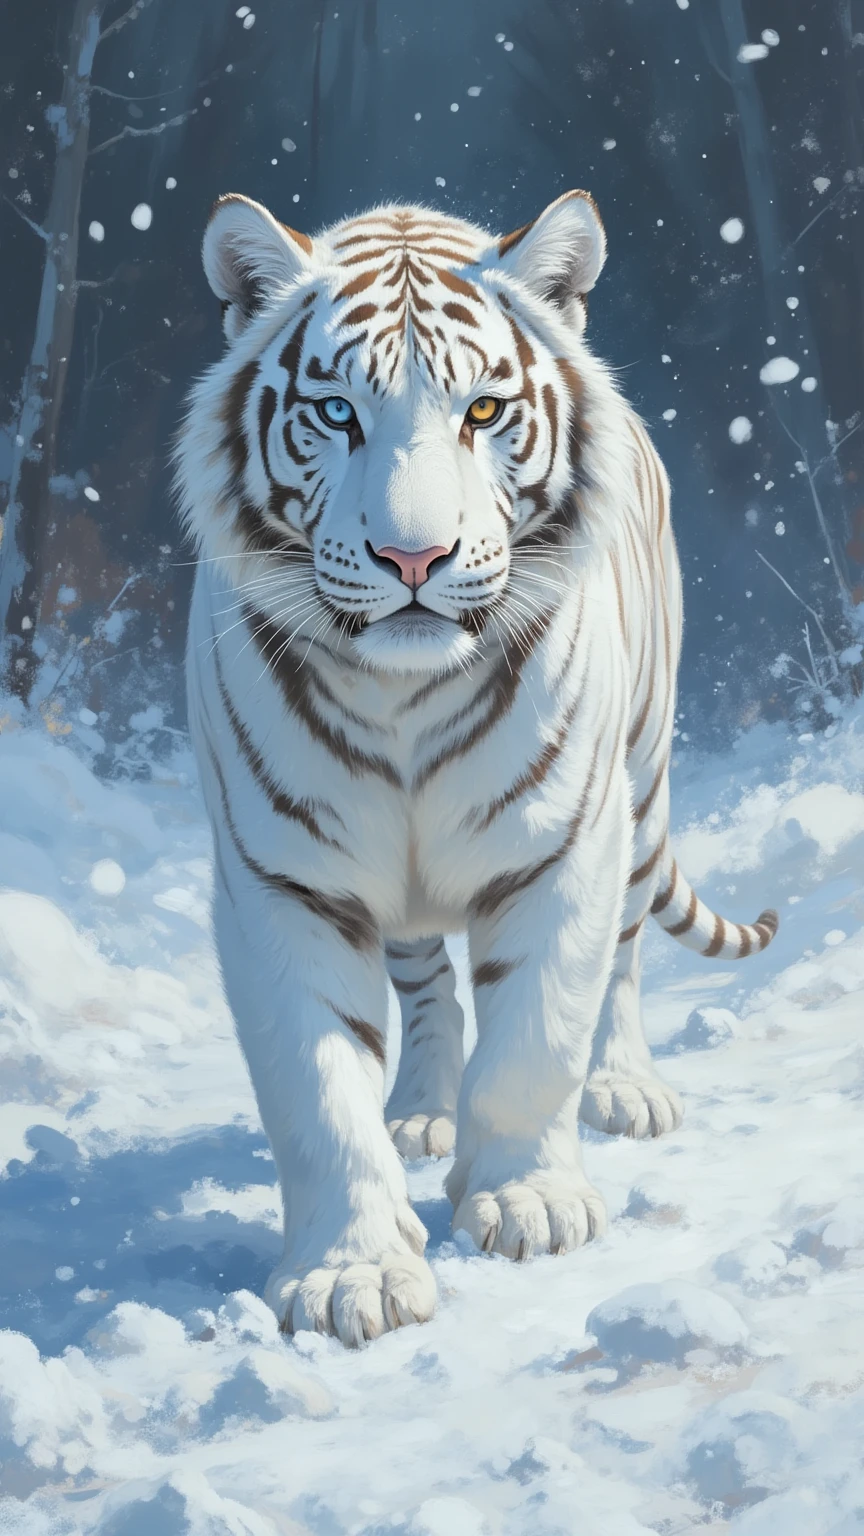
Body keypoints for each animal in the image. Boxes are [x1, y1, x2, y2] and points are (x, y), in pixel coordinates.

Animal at [175, 188, 778, 1348]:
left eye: (486, 413)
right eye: (336, 415)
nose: (415, 558)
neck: (402, 698)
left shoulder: (566, 847)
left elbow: (538, 1037)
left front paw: (529, 1205)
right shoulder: (283, 881)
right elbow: (318, 1089)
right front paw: (351, 1274)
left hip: (641, 782)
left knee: (624, 961)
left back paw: (624, 1088)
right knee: (425, 989)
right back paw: (420, 1111)